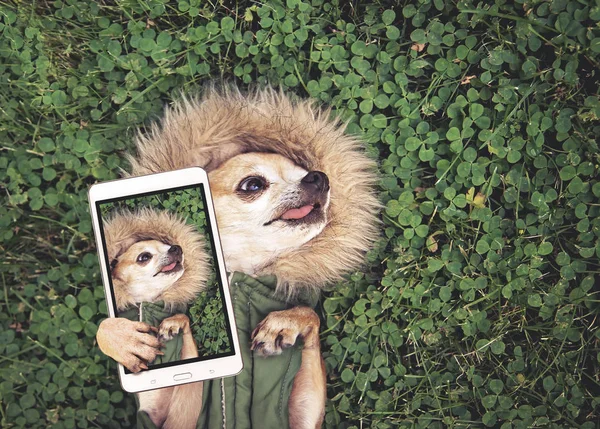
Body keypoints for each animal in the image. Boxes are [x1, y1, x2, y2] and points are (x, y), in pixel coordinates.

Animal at [97, 88, 380, 428]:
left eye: (307, 173)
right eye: (253, 184)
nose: (319, 177)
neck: (236, 273)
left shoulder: (305, 416)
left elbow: (310, 315)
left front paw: (282, 325)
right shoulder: (160, 414)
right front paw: (128, 338)